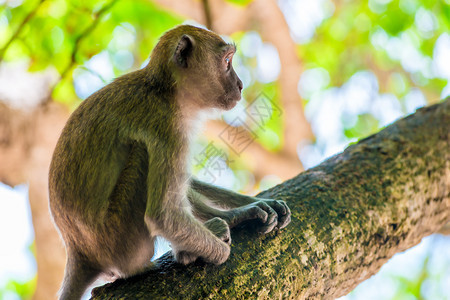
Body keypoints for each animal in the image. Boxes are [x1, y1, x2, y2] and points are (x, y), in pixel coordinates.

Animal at [47, 24, 290, 298]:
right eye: (227, 62)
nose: (240, 85)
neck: (166, 90)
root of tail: (79, 252)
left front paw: (244, 209)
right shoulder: (168, 128)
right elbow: (163, 215)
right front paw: (218, 253)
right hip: (123, 242)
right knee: (143, 154)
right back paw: (180, 254)